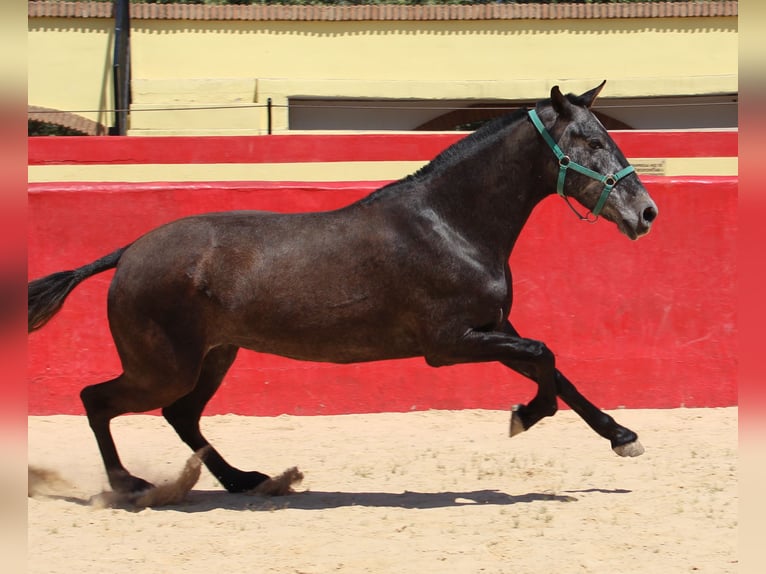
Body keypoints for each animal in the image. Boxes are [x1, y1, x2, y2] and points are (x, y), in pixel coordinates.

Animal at [27, 82, 656, 500]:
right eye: (588, 141)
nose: (646, 213)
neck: (450, 223)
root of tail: (129, 251)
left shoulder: (493, 329)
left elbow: (555, 368)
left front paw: (622, 436)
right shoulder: (450, 342)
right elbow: (546, 359)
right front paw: (524, 416)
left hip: (213, 357)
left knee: (180, 415)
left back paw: (245, 479)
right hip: (164, 365)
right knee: (97, 400)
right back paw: (128, 485)